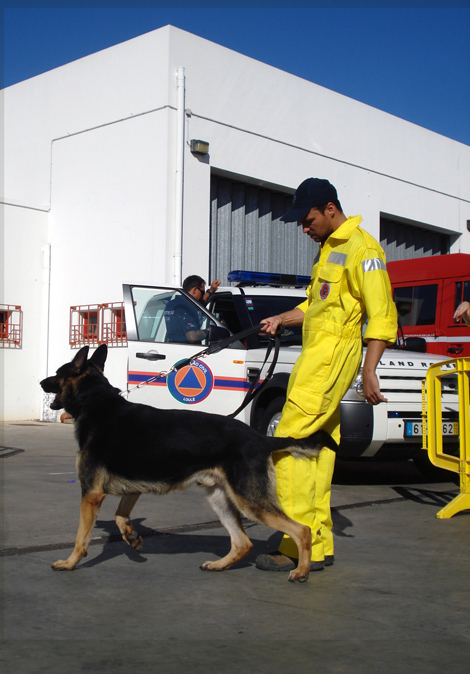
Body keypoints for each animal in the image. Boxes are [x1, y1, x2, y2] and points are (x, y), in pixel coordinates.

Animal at [39, 344, 334, 580]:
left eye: (58, 374)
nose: (42, 382)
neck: (96, 401)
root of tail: (261, 439)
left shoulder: (91, 495)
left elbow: (81, 538)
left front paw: (69, 563)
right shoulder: (131, 489)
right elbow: (120, 516)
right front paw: (132, 538)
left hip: (251, 503)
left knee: (302, 530)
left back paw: (301, 571)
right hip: (221, 500)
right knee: (243, 543)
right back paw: (219, 565)